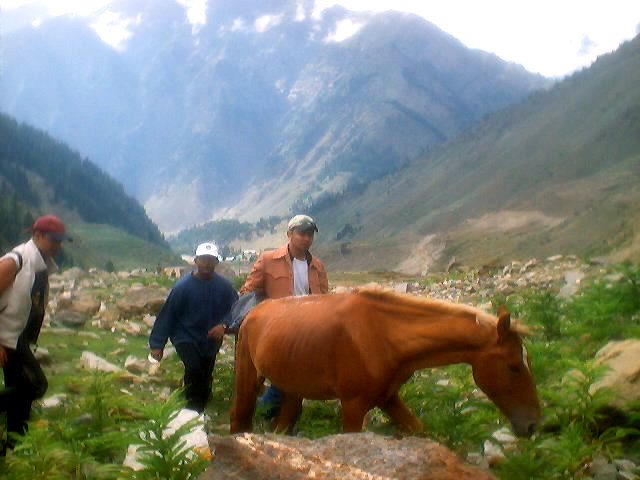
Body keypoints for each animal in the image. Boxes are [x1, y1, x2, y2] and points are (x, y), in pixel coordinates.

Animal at [230, 288, 540, 437]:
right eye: (513, 366)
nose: (533, 425)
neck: (384, 334)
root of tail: (254, 311)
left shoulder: (388, 398)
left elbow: (419, 430)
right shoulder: (353, 406)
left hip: (294, 388)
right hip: (248, 379)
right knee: (239, 416)